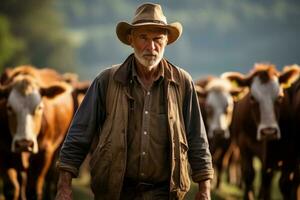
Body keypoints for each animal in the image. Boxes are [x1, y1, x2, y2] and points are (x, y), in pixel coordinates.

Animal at [224, 63, 298, 200]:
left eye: (280, 97)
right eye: (252, 98)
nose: (269, 131)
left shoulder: (285, 151)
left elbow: (281, 182)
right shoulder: (243, 143)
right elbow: (248, 174)